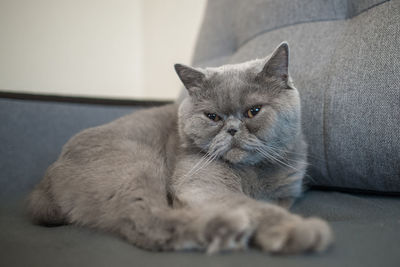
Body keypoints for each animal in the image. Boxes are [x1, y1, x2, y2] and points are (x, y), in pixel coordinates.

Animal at [28, 43, 332, 254]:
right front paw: (300, 229)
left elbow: (269, 206)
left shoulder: (284, 194)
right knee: (145, 222)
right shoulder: (201, 186)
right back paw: (227, 228)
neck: (253, 174)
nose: (232, 129)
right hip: (138, 165)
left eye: (253, 111)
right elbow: (252, 206)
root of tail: (47, 178)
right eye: (213, 117)